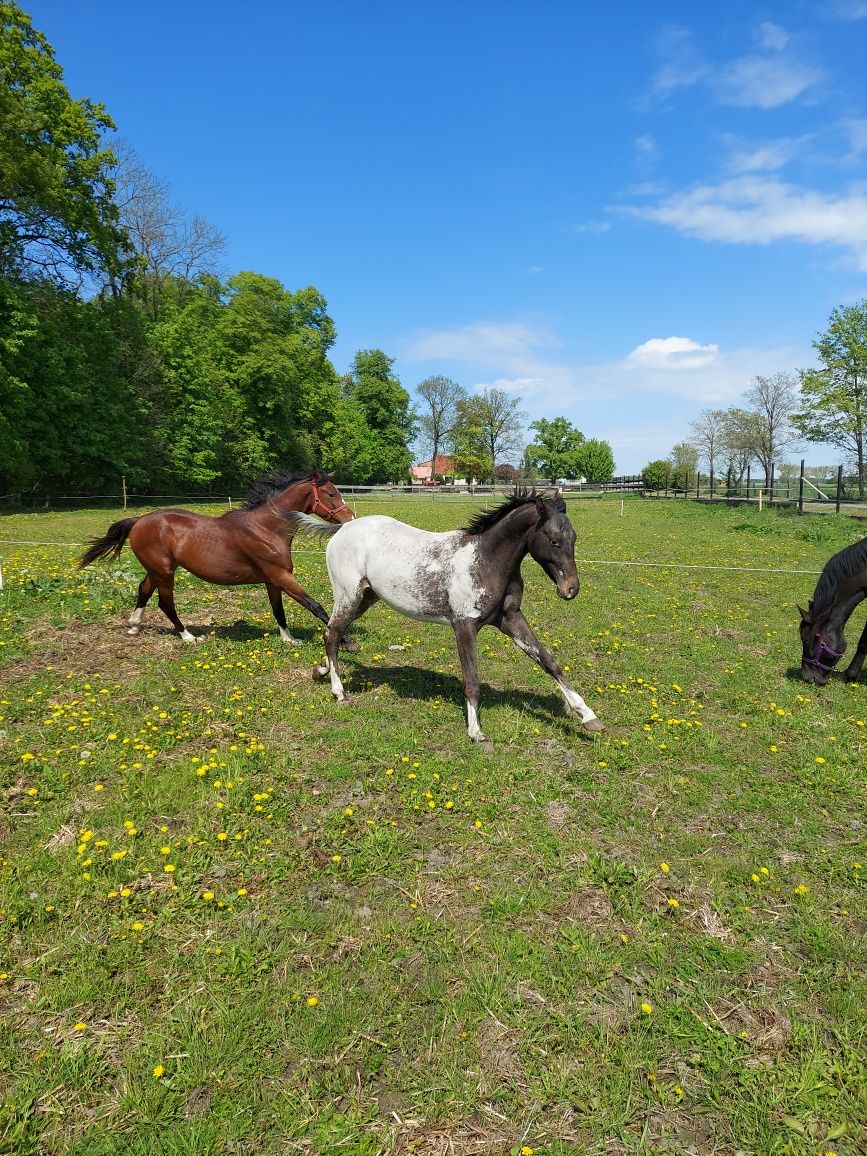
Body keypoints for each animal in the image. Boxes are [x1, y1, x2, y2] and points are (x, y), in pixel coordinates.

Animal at [78, 473, 353, 647]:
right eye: (331, 493)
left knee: (143, 589)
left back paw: (134, 626)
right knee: (165, 604)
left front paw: (290, 640)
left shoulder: (272, 581)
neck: (266, 528)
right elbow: (315, 605)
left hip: (157, 570)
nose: (349, 518)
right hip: (165, 573)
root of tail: (138, 520)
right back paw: (189, 637)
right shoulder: (281, 576)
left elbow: (279, 611)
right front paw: (347, 642)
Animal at [285, 485, 605, 739]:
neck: (487, 560)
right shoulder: (464, 625)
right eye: (553, 541)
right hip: (348, 594)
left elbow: (549, 662)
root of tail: (341, 529)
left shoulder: (511, 619)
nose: (571, 589)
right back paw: (339, 692)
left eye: (574, 539)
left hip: (366, 597)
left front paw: (588, 716)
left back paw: (321, 670)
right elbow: (472, 680)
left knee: (334, 632)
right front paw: (476, 732)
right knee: (332, 632)